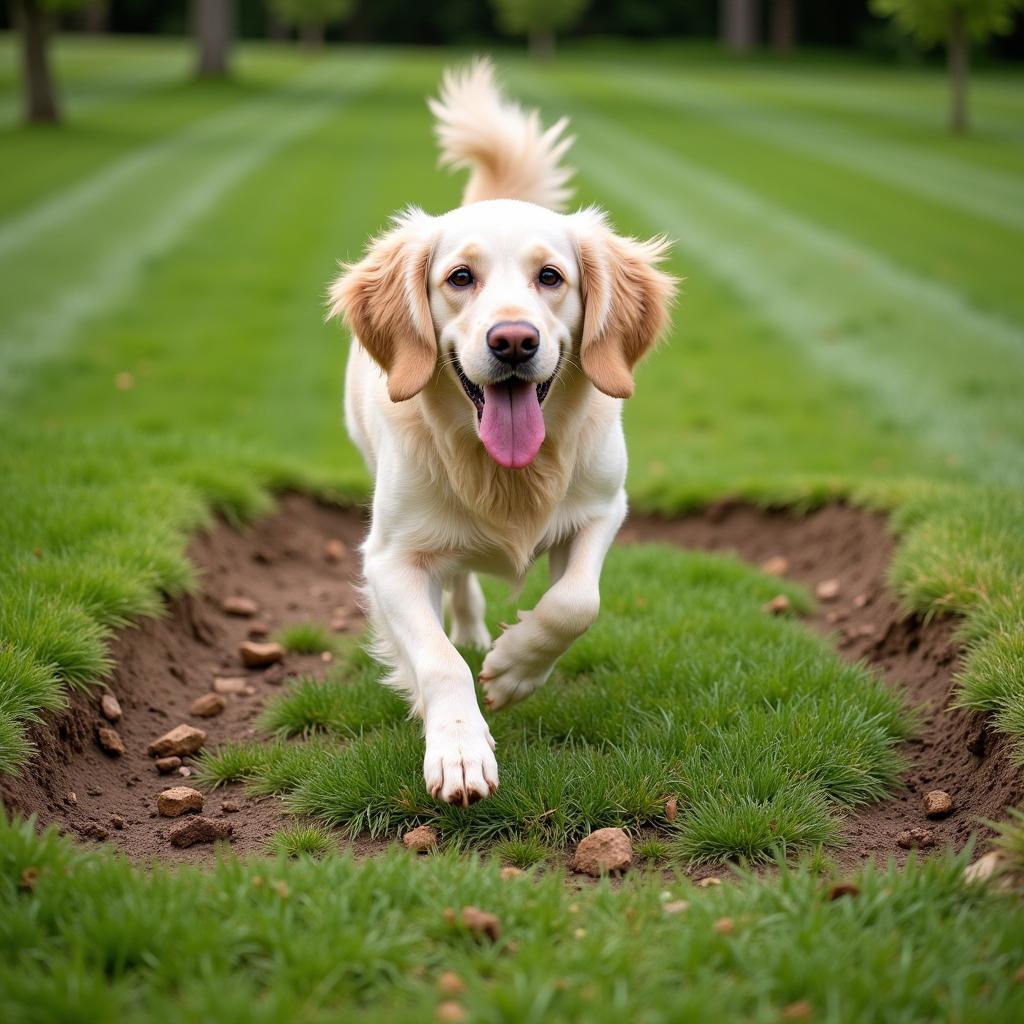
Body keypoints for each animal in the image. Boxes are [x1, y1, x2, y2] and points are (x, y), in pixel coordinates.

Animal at [327, 59, 675, 806]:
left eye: (551, 277)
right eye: (460, 277)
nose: (513, 340)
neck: (507, 473)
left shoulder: (604, 508)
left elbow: (576, 602)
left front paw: (518, 665)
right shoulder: (390, 558)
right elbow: (438, 661)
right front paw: (457, 747)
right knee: (457, 588)